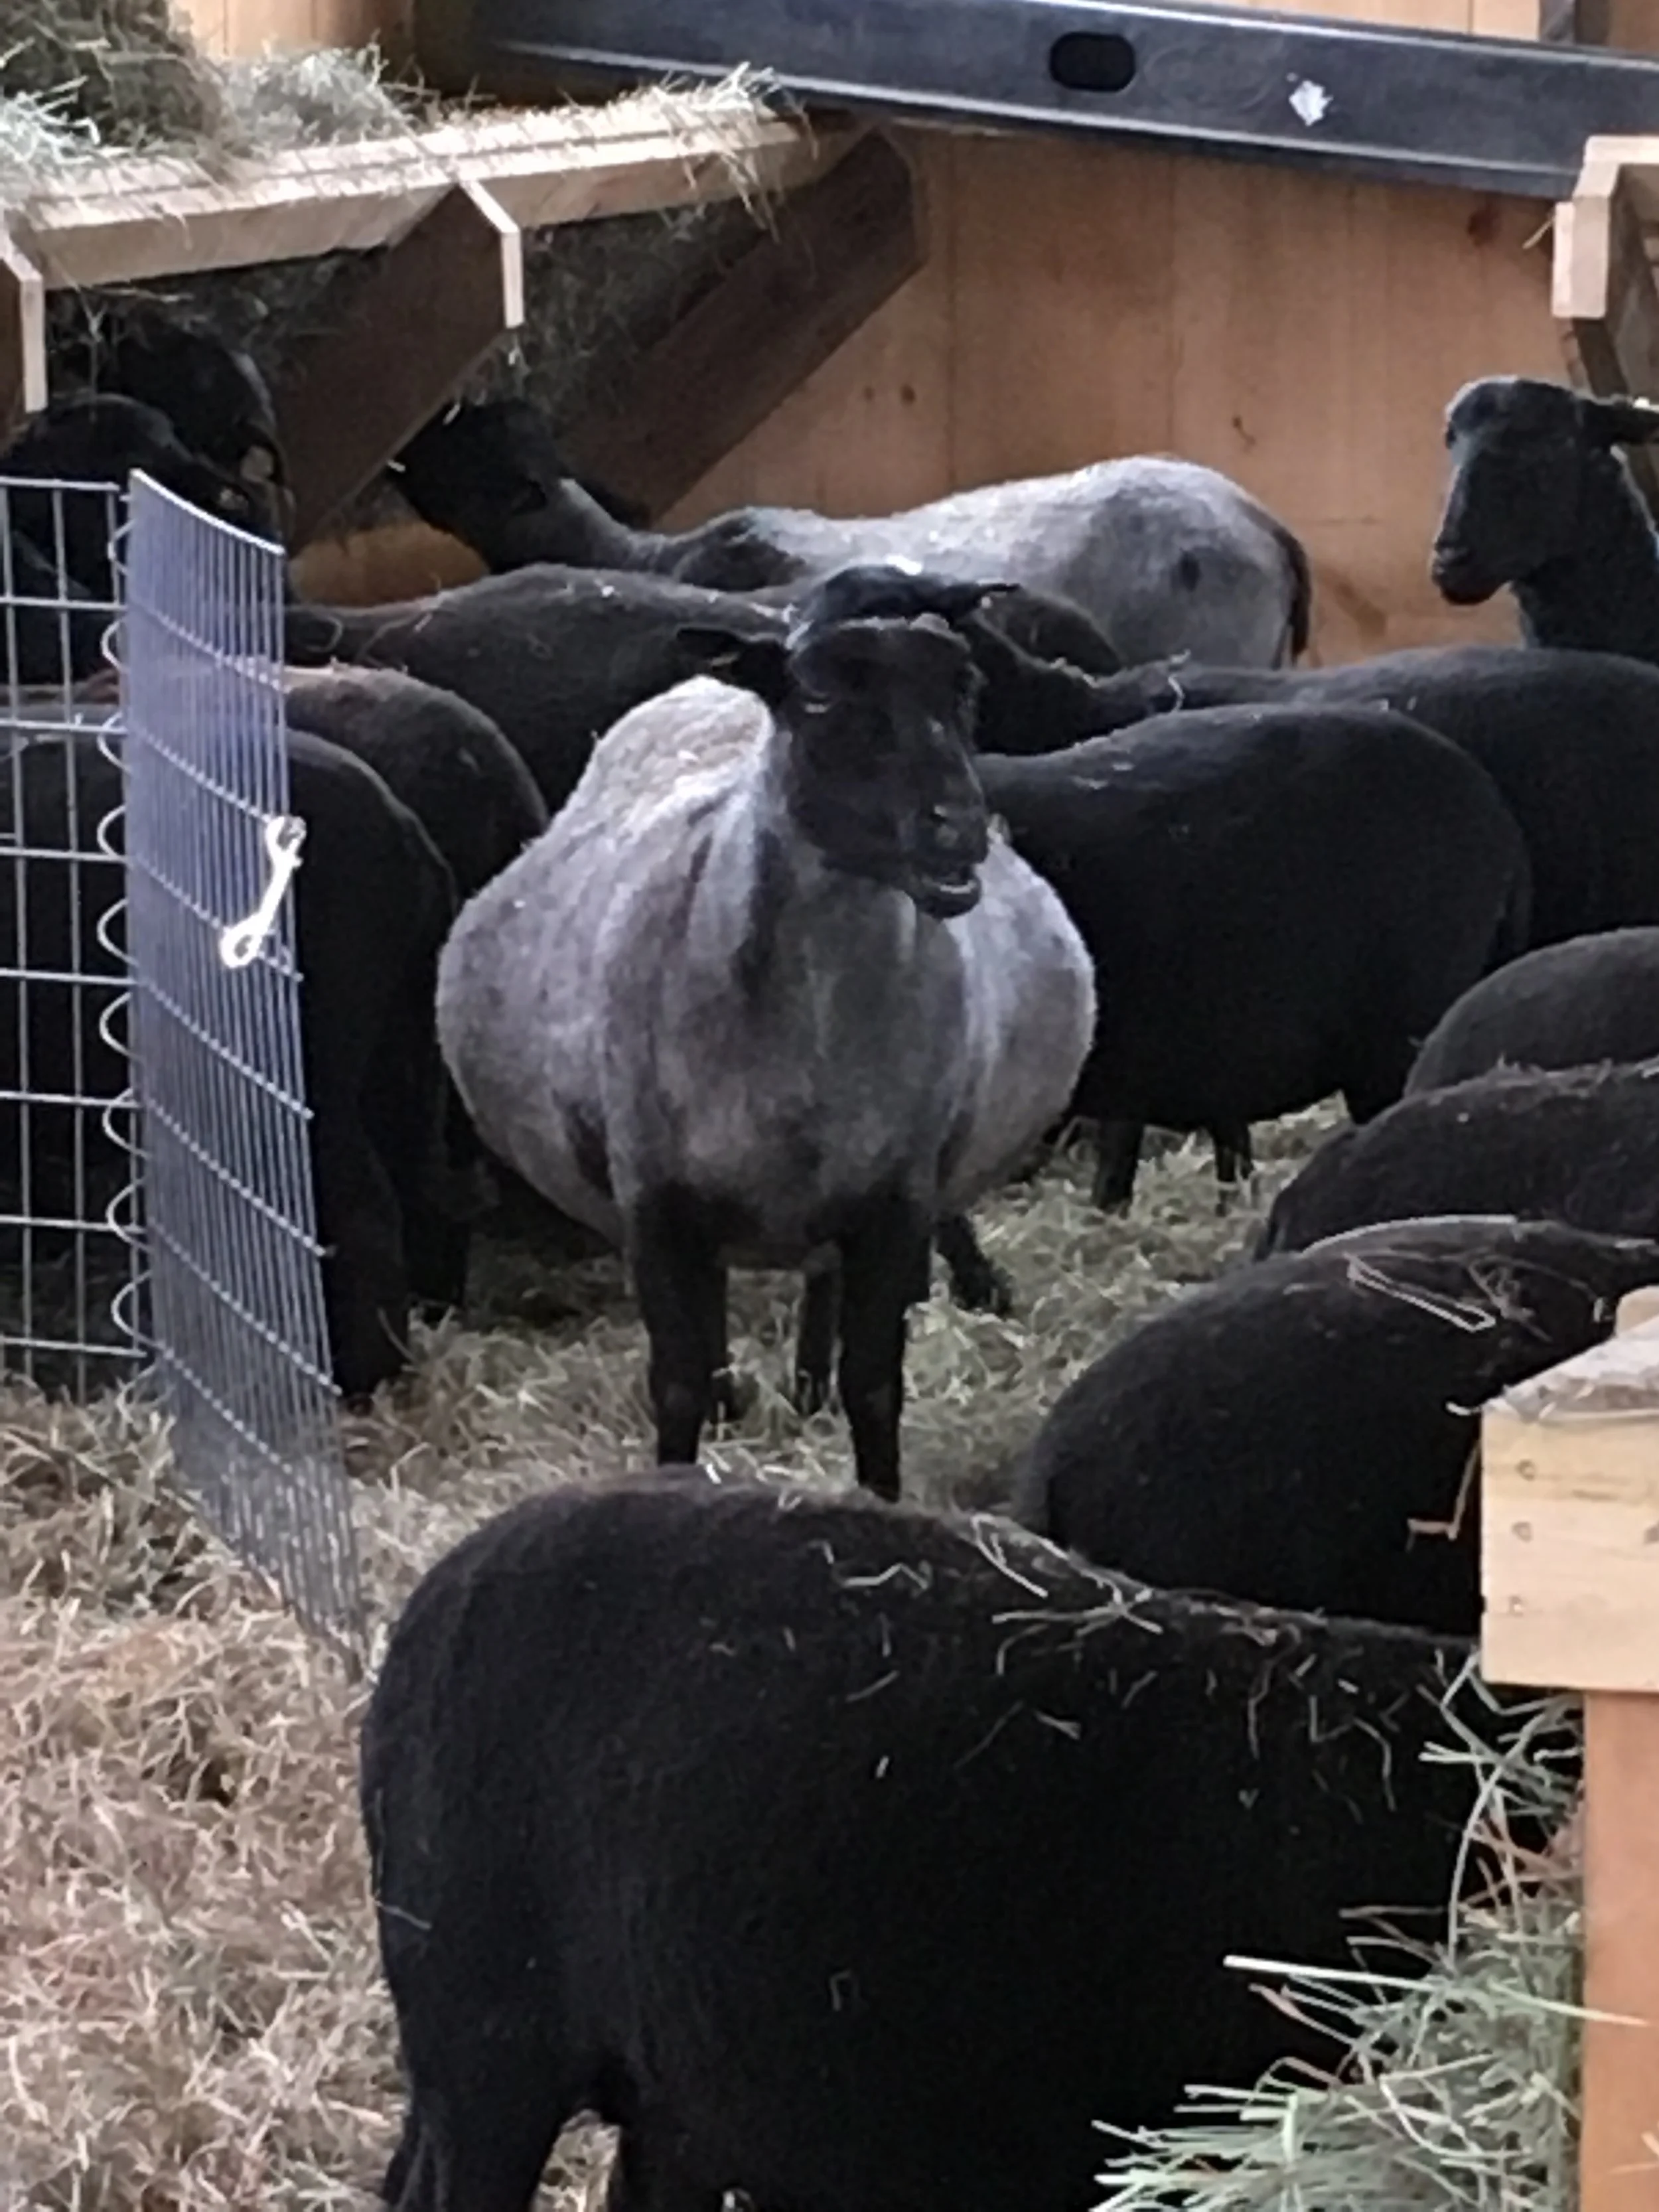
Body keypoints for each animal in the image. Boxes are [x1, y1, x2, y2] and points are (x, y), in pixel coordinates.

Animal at [434, 578, 1095, 1495]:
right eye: (817, 698)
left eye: (964, 689)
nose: (958, 826)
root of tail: (708, 690)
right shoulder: (656, 1205)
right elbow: (675, 1383)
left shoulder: (893, 1201)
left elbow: (874, 1385)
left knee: (822, 1294)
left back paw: (807, 1387)